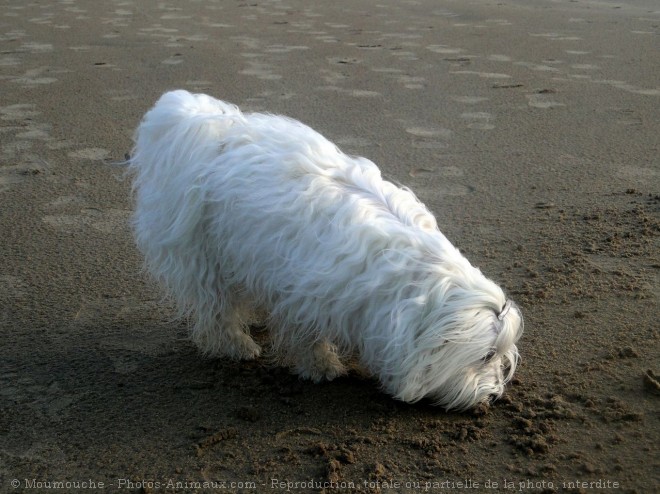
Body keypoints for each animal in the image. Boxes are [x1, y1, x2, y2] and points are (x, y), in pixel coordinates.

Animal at [129, 90, 520, 412]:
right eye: (485, 355)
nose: (491, 398)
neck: (415, 282)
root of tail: (203, 125)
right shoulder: (305, 292)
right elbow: (308, 336)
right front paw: (322, 367)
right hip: (204, 254)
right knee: (216, 306)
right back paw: (236, 345)